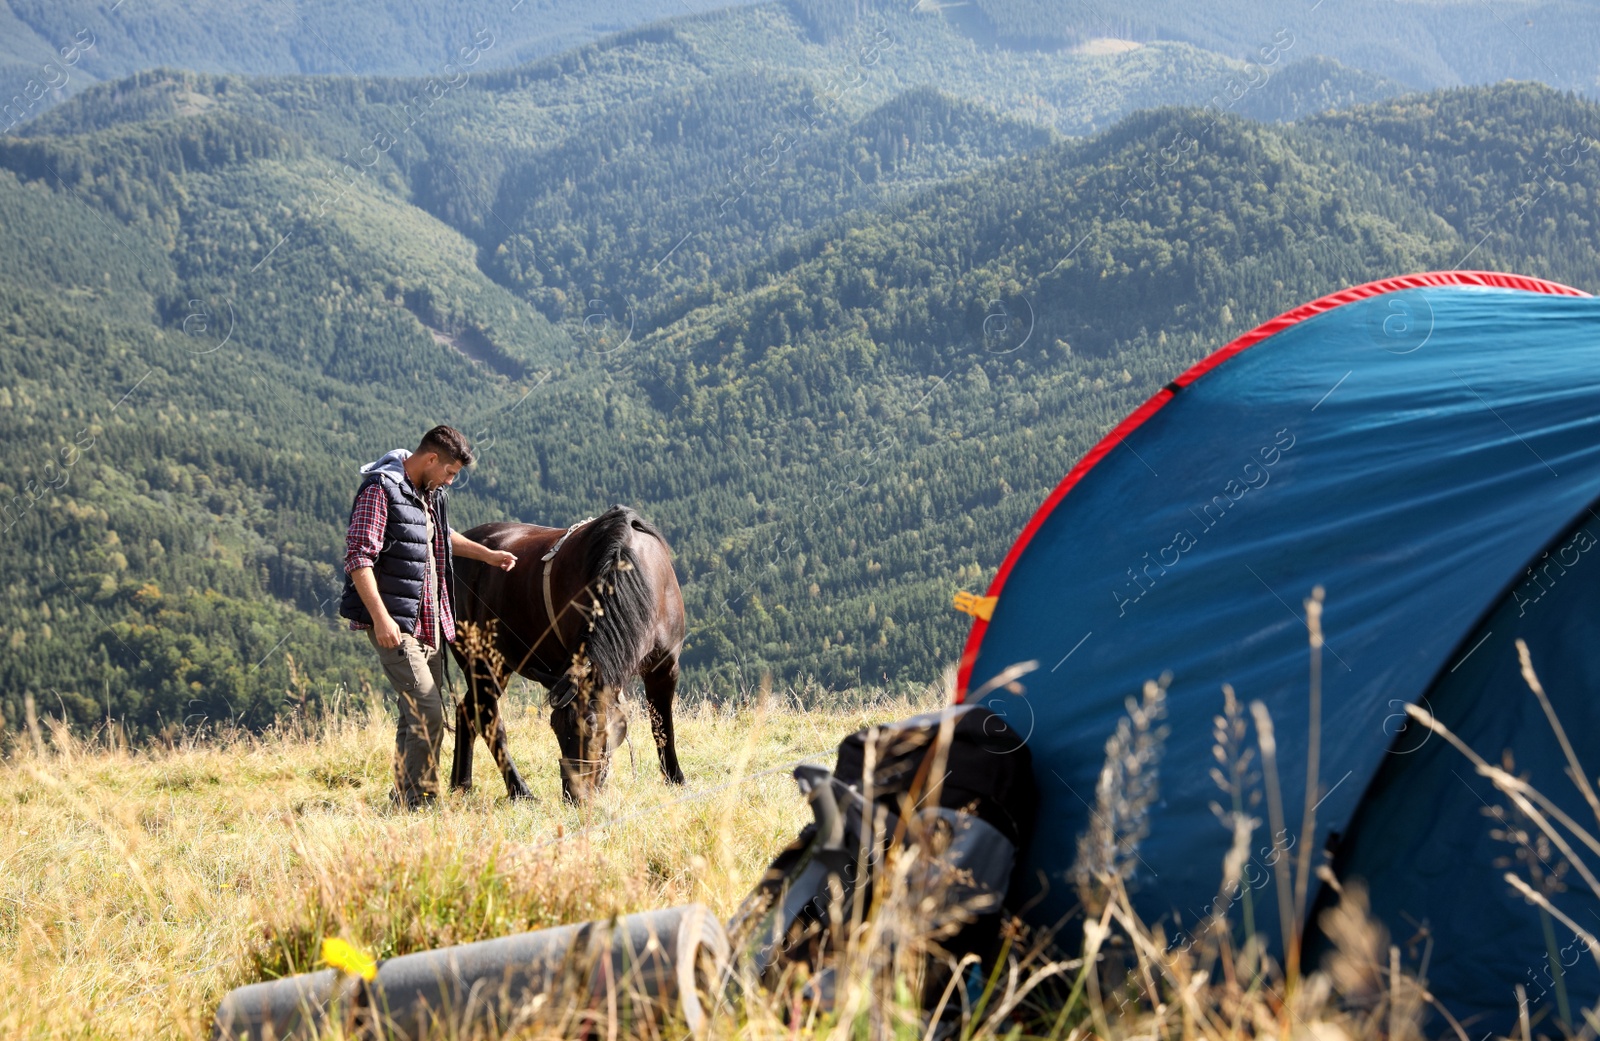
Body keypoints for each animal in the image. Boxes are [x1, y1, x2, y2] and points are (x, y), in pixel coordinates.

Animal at [444, 505, 688, 805]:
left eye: (592, 725)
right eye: (554, 727)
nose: (574, 795)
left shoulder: (664, 668)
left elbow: (663, 727)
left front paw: (675, 778)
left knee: (466, 711)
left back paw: (461, 785)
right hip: (481, 661)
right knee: (488, 719)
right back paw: (519, 790)